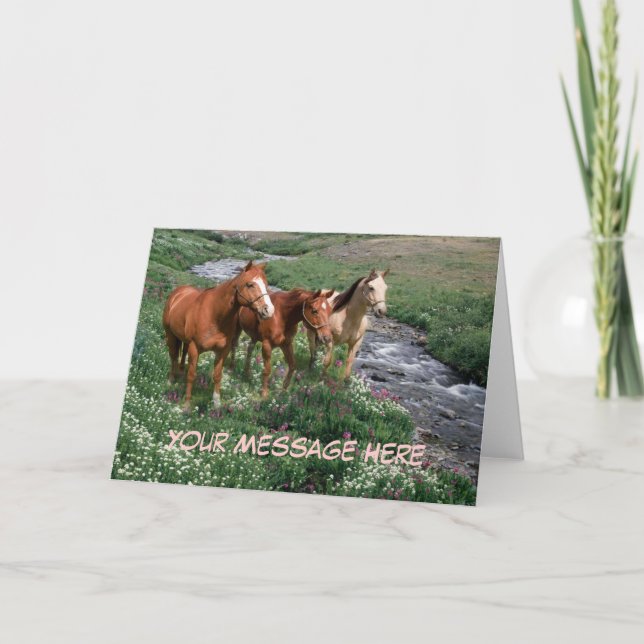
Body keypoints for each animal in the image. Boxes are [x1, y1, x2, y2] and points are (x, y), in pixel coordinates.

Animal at [162, 260, 275, 411]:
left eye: (266, 284)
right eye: (250, 284)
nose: (269, 311)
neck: (214, 315)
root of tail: (177, 293)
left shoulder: (222, 351)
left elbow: (217, 376)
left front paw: (216, 403)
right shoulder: (194, 348)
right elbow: (191, 375)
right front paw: (186, 404)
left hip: (183, 340)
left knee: (182, 354)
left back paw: (179, 372)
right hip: (170, 335)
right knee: (173, 355)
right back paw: (171, 379)